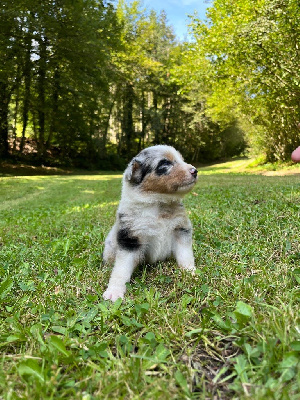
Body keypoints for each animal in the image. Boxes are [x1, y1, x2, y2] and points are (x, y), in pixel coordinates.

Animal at [102, 145, 198, 302]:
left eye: (181, 160)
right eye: (164, 164)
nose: (195, 171)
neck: (158, 203)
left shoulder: (181, 230)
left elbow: (186, 255)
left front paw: (191, 273)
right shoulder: (130, 240)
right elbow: (121, 269)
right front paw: (114, 291)